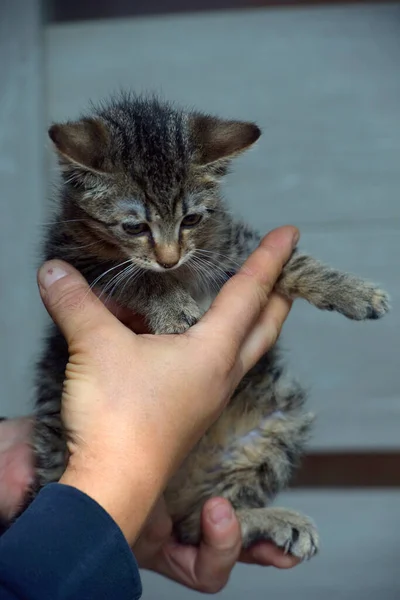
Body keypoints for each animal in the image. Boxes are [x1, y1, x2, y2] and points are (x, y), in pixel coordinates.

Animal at [26, 94, 390, 556]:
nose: (169, 259)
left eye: (192, 220)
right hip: (58, 439)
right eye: (134, 226)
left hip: (279, 422)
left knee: (203, 522)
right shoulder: (76, 259)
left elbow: (294, 263)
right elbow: (138, 277)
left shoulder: (235, 246)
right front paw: (172, 303)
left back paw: (270, 519)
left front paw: (353, 291)